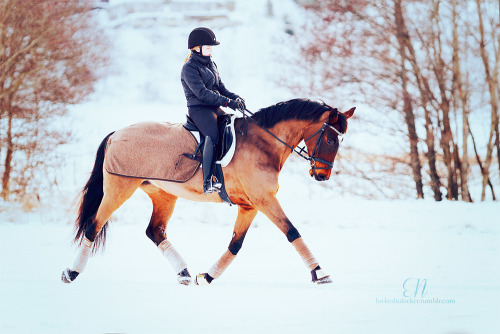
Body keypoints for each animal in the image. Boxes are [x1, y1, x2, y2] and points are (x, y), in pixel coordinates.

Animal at [61, 98, 356, 286]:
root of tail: (115, 133)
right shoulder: (264, 200)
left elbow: (235, 244)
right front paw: (320, 272)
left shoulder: (250, 205)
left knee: (155, 231)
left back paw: (183, 273)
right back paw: (71, 273)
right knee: (93, 225)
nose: (322, 175)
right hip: (119, 188)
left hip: (163, 194)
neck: (263, 144)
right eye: (331, 139)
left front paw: (208, 276)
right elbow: (292, 232)